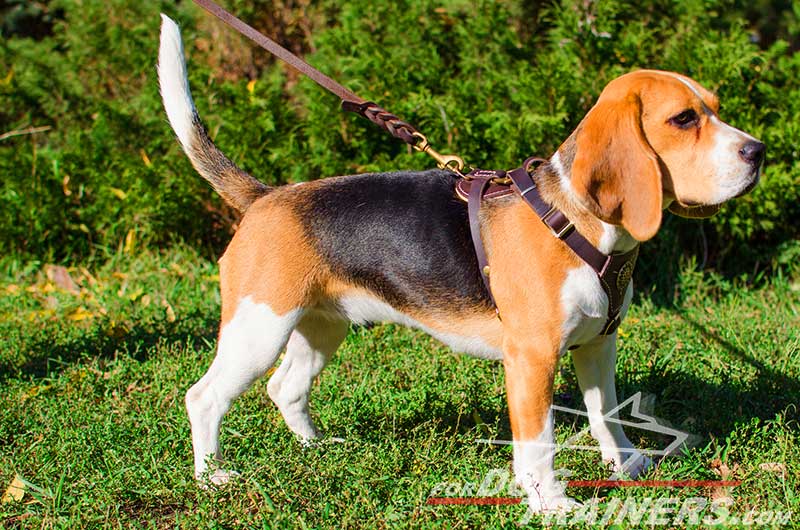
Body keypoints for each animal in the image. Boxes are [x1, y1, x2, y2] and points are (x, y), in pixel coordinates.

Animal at [156, 16, 764, 510]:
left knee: (286, 388)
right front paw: (550, 501)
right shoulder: (532, 358)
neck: (577, 221)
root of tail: (265, 196)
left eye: (714, 108)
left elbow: (606, 412)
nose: (758, 152)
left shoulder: (598, 342)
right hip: (259, 328)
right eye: (683, 119)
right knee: (203, 397)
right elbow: (538, 440)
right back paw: (213, 477)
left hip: (321, 326)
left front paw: (626, 462)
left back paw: (315, 446)